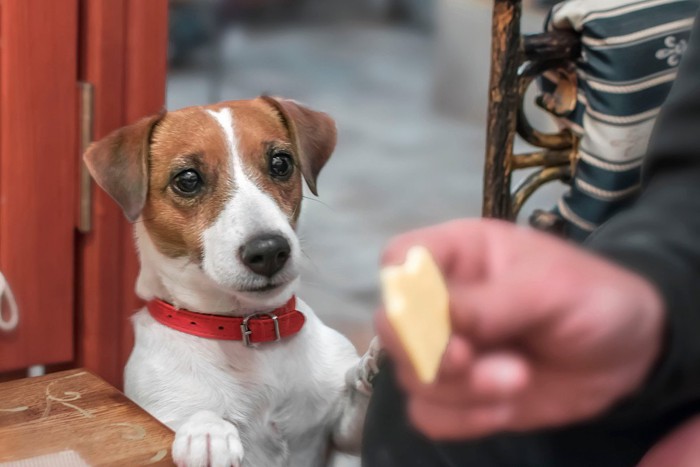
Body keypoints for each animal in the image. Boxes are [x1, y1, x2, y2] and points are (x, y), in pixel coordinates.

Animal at [84, 97, 380, 466]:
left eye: (281, 162)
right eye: (188, 179)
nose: (269, 251)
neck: (250, 329)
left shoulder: (341, 439)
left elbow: (356, 405)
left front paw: (373, 365)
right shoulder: (158, 406)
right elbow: (195, 413)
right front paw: (207, 431)